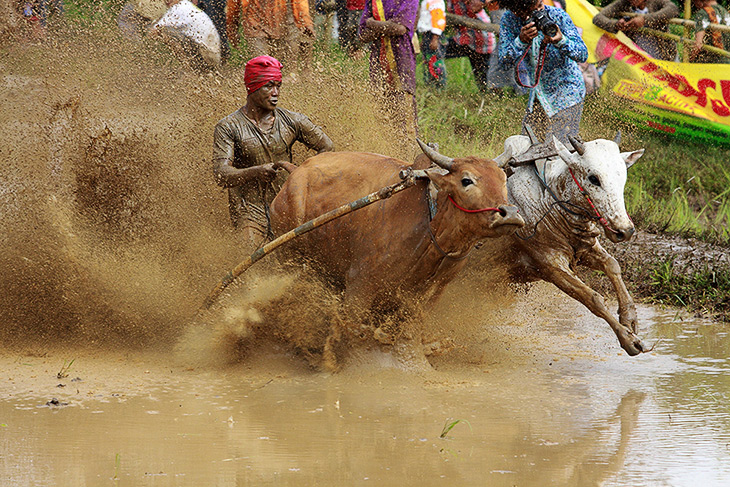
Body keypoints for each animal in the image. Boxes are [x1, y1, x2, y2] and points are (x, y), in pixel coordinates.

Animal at [268, 143, 524, 368]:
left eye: (503, 180)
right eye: (466, 180)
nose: (509, 213)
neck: (431, 222)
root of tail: (295, 173)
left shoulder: (434, 290)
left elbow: (411, 328)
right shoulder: (360, 283)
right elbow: (353, 325)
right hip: (288, 258)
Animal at [494, 132, 644, 356]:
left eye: (622, 178)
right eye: (594, 178)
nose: (624, 230)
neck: (548, 198)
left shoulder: (585, 248)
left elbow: (612, 265)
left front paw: (630, 319)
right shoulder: (550, 266)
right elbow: (592, 298)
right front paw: (628, 339)